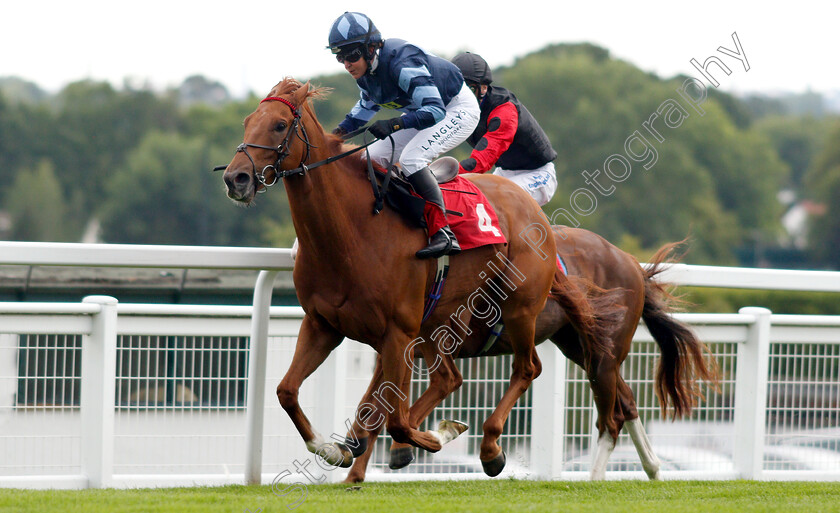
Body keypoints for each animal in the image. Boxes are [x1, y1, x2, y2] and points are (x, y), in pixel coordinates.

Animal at [223, 78, 616, 474]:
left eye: (279, 125)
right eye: (246, 121)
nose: (235, 178)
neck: (351, 232)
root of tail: (533, 208)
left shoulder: (397, 332)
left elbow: (396, 420)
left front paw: (435, 436)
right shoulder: (323, 325)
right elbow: (286, 391)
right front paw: (333, 449)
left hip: (518, 308)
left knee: (526, 368)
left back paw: (489, 448)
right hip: (436, 320)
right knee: (449, 377)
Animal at [342, 226, 720, 482]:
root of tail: (629, 261)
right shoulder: (393, 352)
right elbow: (373, 408)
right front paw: (354, 471)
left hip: (603, 353)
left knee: (610, 419)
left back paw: (595, 477)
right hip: (581, 346)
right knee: (626, 403)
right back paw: (653, 468)